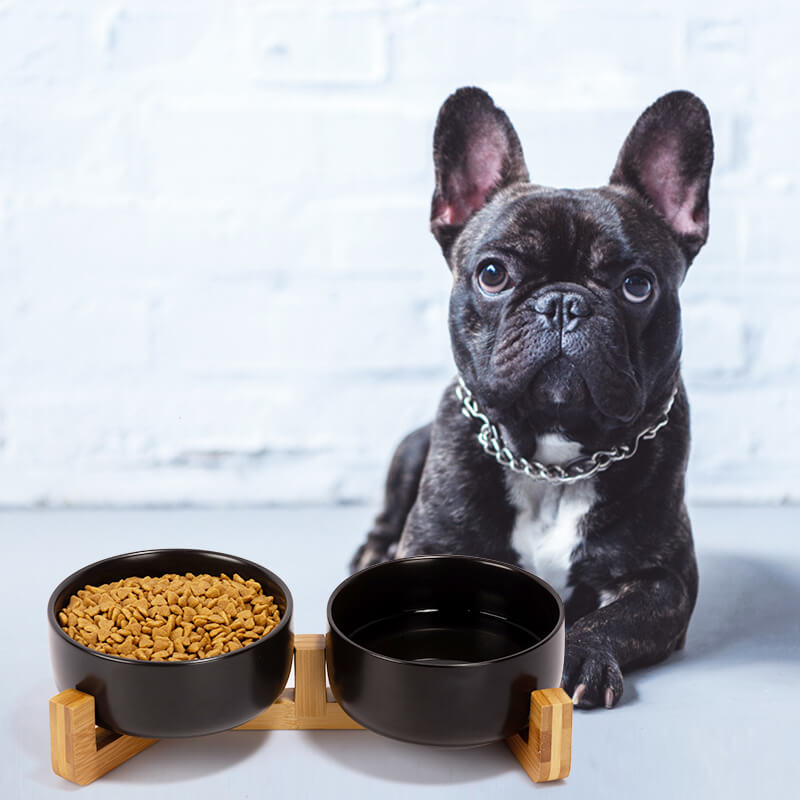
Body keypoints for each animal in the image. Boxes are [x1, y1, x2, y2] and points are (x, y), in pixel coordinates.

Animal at [350, 87, 712, 708]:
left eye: (637, 285)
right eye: (493, 274)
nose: (563, 303)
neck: (553, 460)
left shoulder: (664, 581)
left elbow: (612, 618)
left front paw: (581, 653)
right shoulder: (432, 542)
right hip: (410, 448)